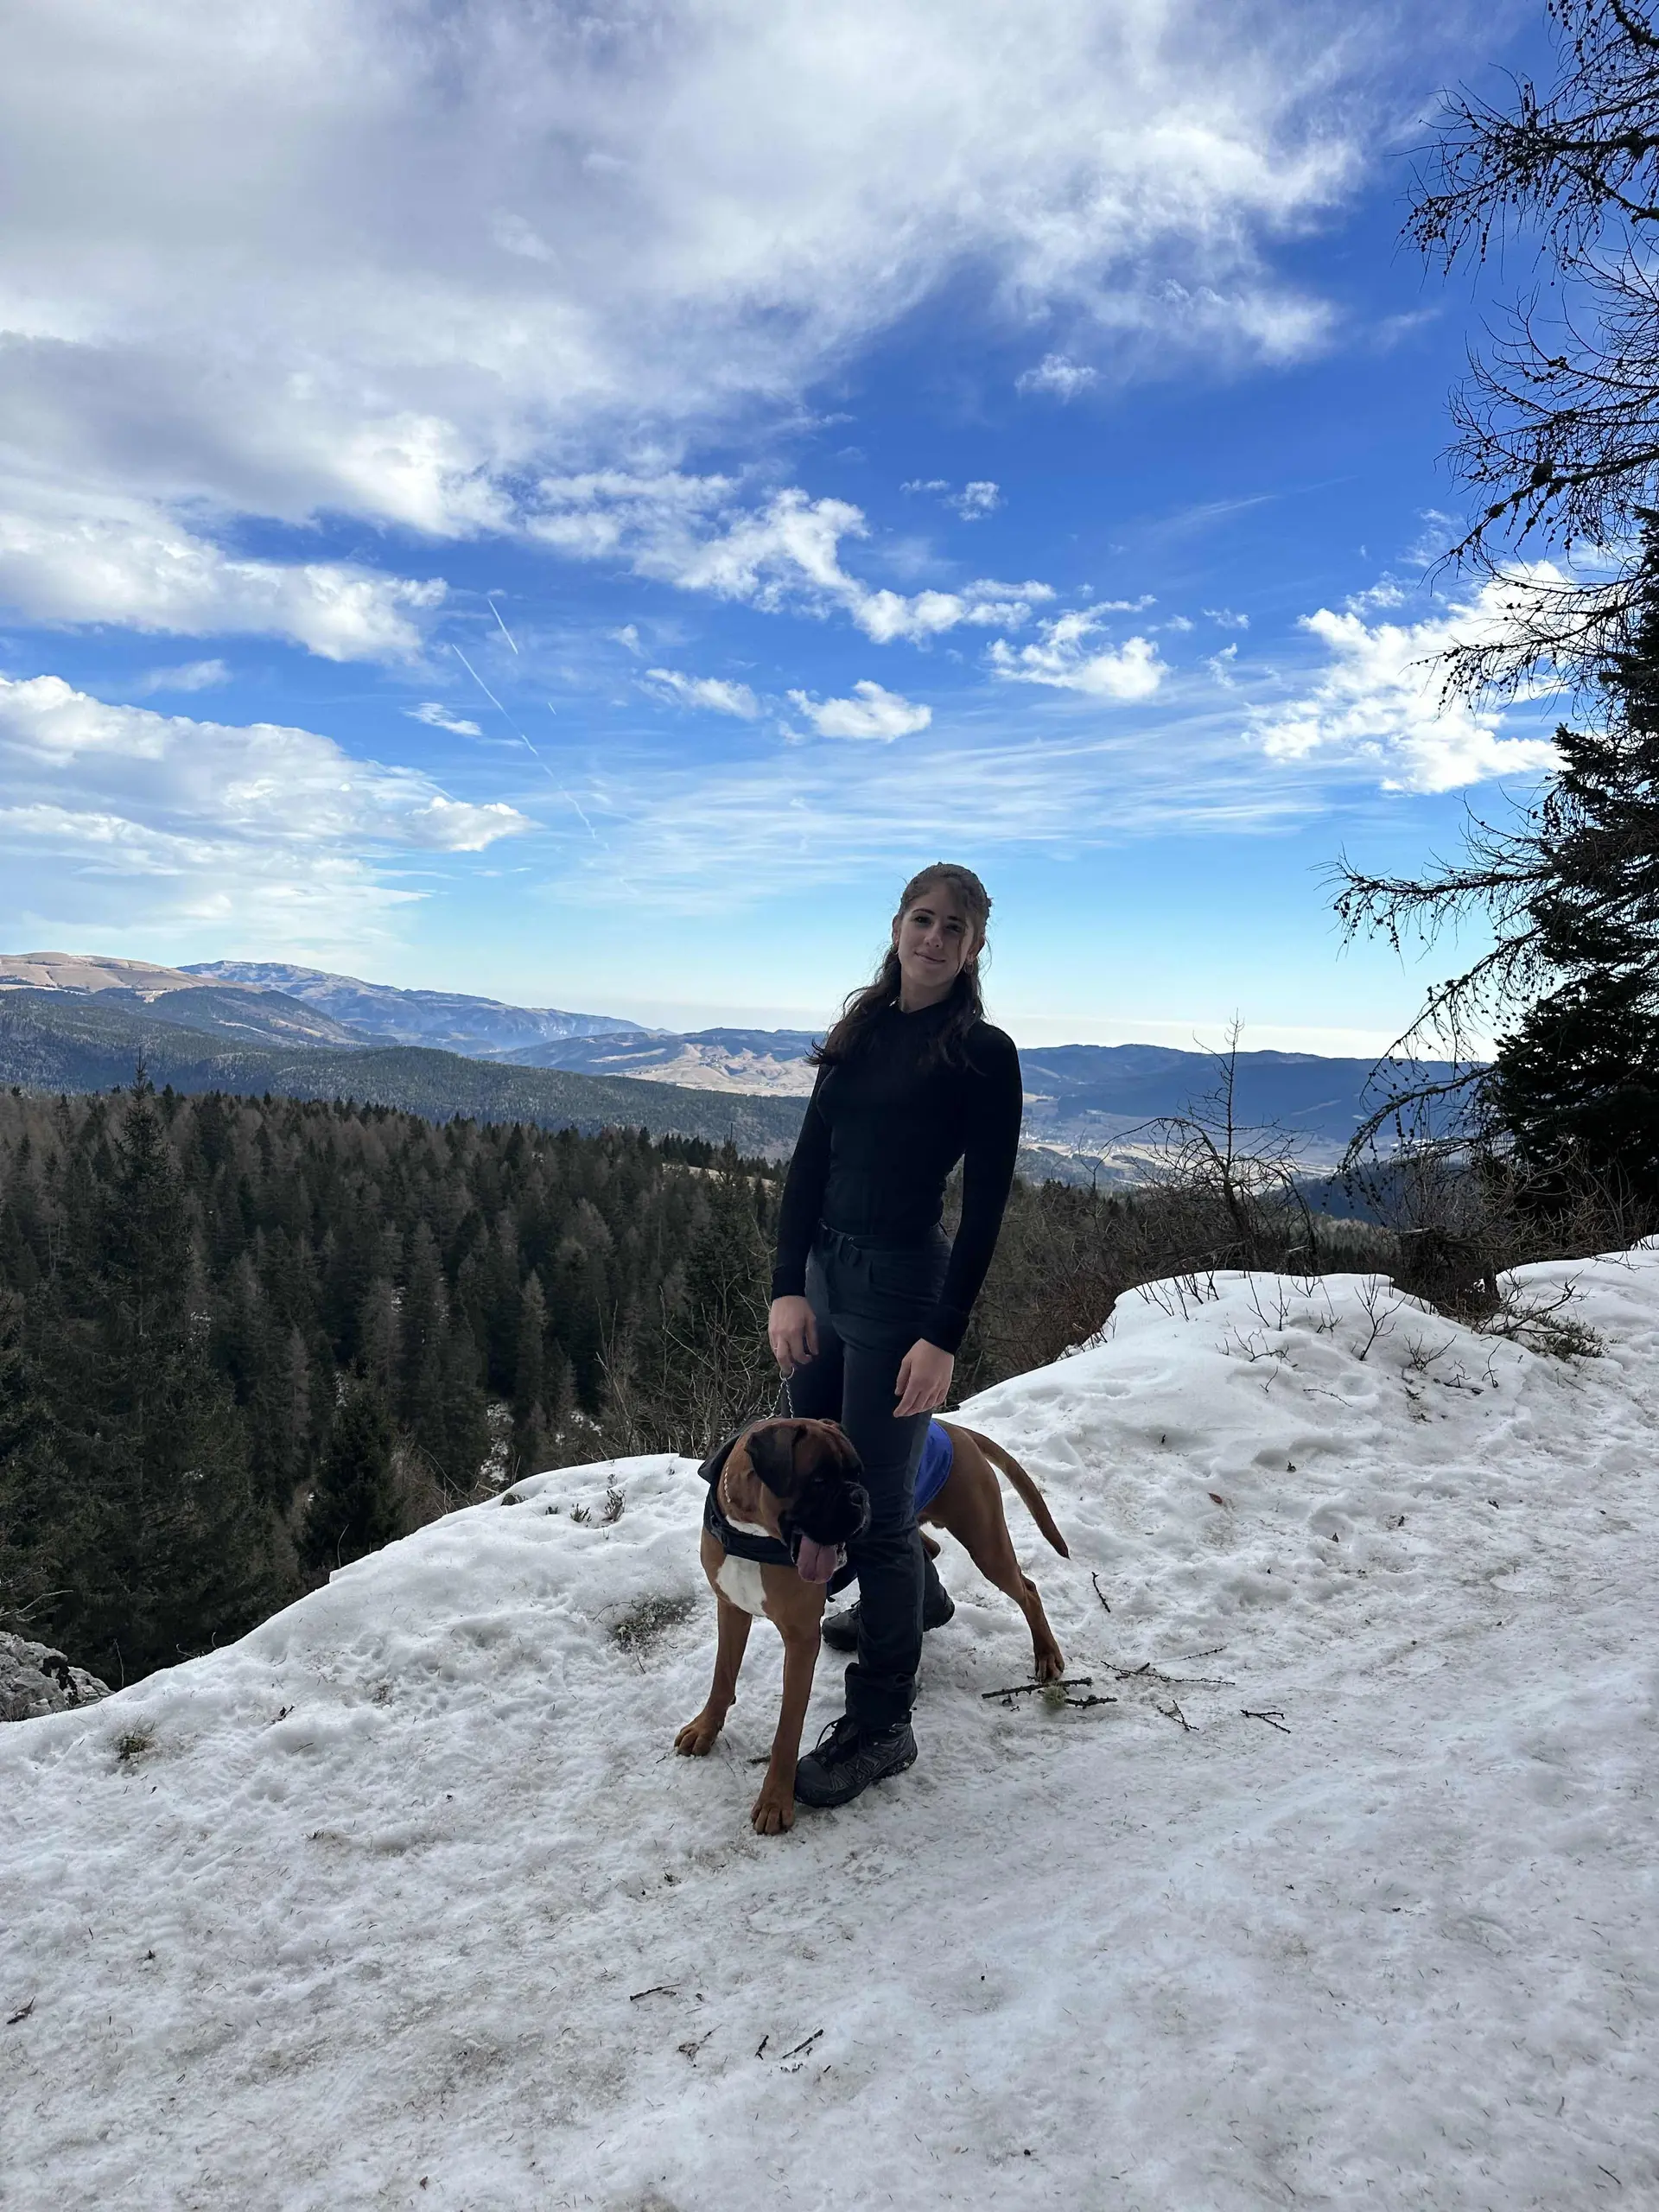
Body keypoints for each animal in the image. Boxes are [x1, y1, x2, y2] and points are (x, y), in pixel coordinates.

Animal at [675, 1414, 1069, 1834]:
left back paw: (1047, 1655)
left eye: (857, 1474)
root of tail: (955, 1429)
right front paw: (704, 1729)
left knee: (1027, 1590)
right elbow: (722, 1677)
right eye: (819, 1480)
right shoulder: (731, 1608)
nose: (860, 1496)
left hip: (985, 1543)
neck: (749, 1532)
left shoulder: (800, 1641)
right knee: (927, 1551)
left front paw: (775, 1800)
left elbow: (787, 1729)